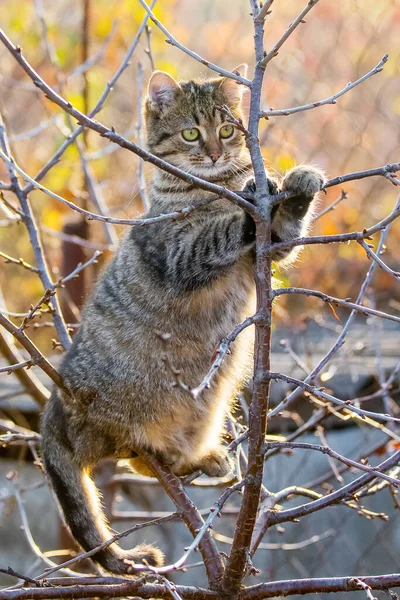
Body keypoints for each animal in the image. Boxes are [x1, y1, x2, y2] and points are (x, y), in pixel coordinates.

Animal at [41, 63, 324, 576]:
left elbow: (283, 229)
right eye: (192, 133)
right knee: (131, 457)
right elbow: (224, 230)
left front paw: (297, 185)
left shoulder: (272, 250)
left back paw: (205, 461)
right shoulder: (180, 253)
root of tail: (54, 409)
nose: (214, 153)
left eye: (227, 130)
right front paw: (255, 199)